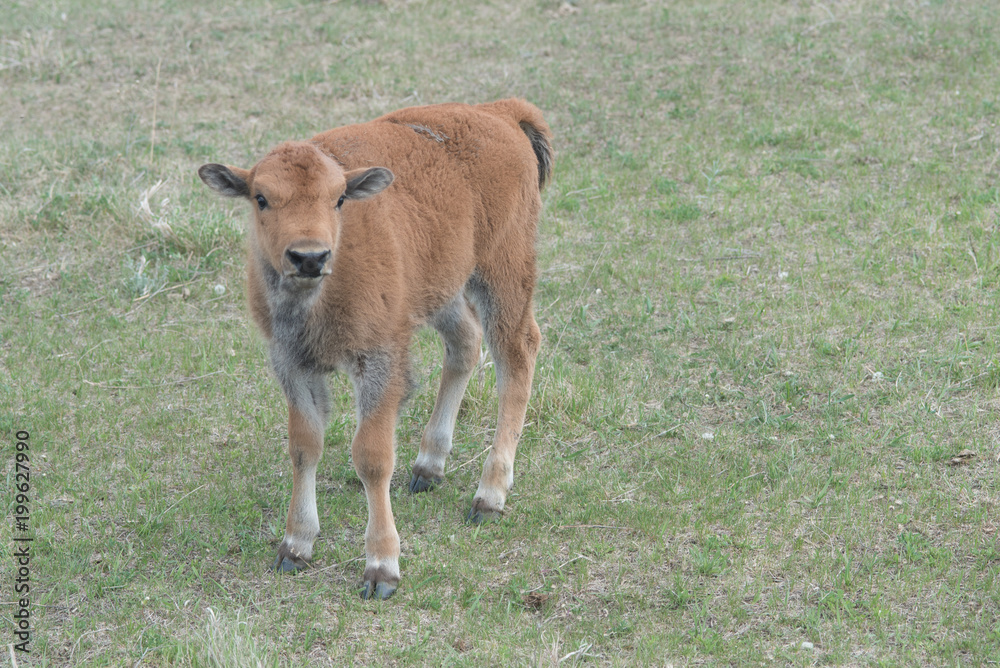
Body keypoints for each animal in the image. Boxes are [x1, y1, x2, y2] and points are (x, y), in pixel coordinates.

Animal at [198, 99, 552, 599]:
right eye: (261, 198)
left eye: (338, 198)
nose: (309, 257)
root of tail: (499, 111)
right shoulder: (292, 364)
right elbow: (305, 446)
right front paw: (295, 546)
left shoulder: (379, 359)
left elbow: (371, 456)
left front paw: (381, 568)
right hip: (442, 287)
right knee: (465, 344)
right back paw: (428, 467)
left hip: (502, 273)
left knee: (517, 355)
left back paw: (488, 496)